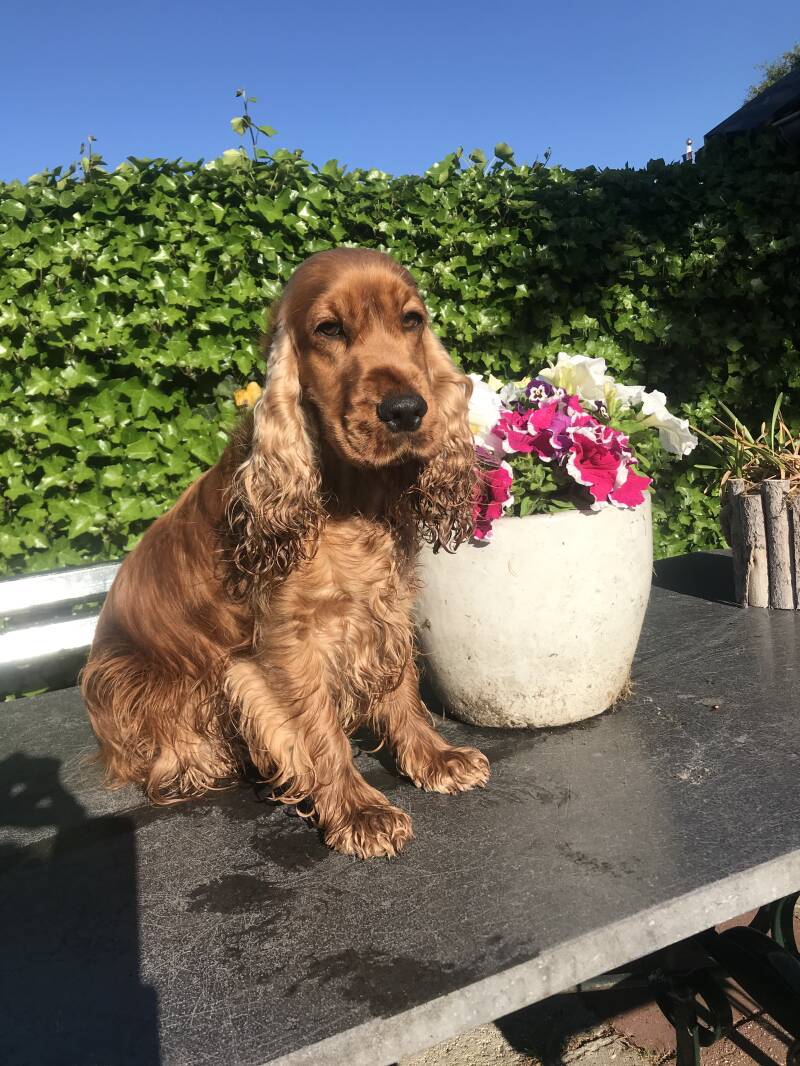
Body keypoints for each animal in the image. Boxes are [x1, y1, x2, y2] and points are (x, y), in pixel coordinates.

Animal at [81, 247, 490, 858]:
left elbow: (401, 689)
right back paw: (196, 764)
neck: (351, 497)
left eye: (412, 320)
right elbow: (317, 730)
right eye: (329, 329)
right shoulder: (287, 642)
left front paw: (435, 758)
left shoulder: (386, 605)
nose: (406, 410)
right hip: (127, 676)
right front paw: (359, 811)